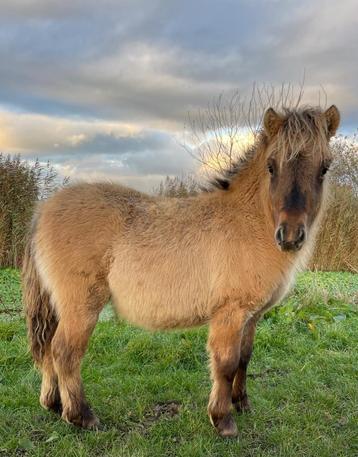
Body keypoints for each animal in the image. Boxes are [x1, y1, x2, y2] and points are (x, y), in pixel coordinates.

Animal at [23, 105, 342, 436]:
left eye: (324, 168)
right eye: (271, 166)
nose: (290, 236)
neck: (249, 223)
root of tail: (43, 209)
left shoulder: (252, 316)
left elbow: (244, 358)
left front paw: (242, 403)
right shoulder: (230, 313)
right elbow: (226, 363)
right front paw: (223, 419)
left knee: (48, 349)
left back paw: (53, 404)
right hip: (81, 306)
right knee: (64, 352)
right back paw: (81, 415)